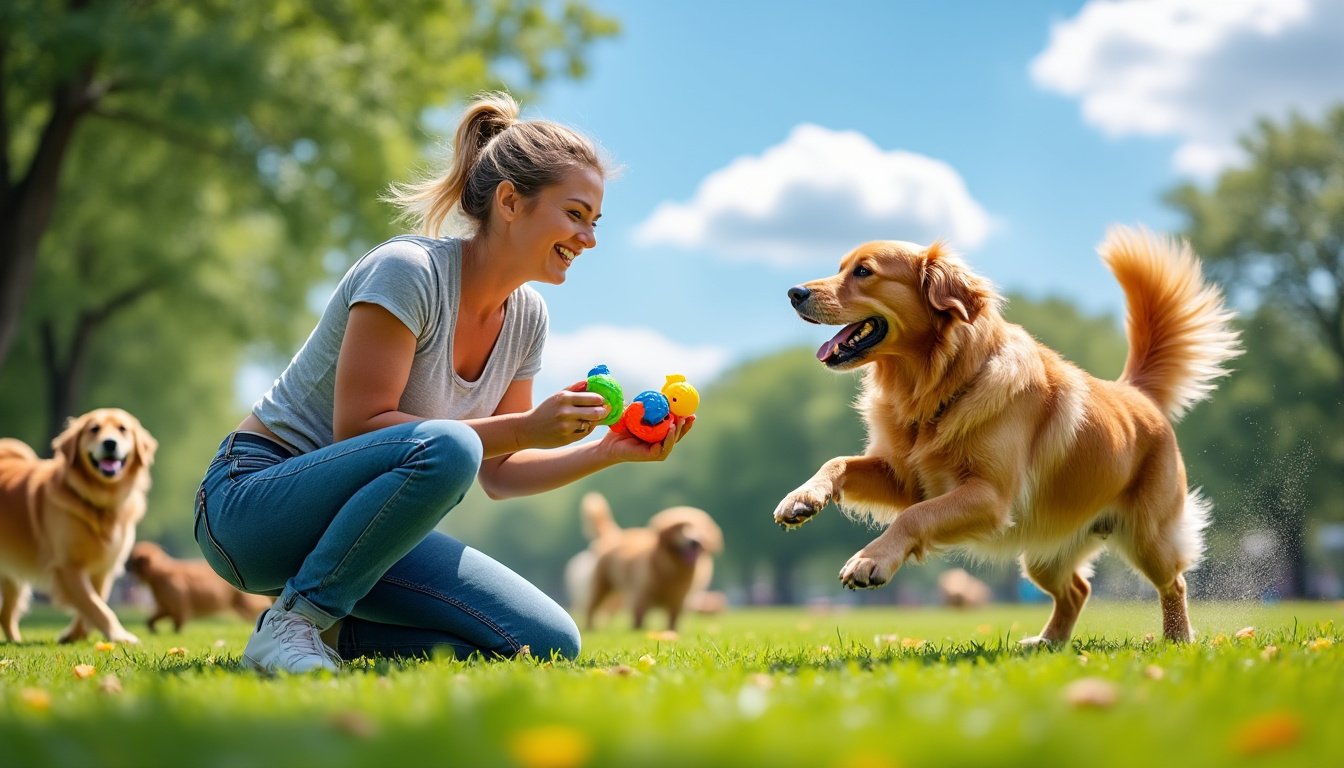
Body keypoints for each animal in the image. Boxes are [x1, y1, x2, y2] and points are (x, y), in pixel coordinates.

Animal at [0, 408, 157, 642]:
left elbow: (92, 603)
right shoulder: (68, 566)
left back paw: (16, 641)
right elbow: (96, 607)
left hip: (13, 576)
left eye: (123, 429)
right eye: (94, 429)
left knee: (6, 614)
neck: (100, 502)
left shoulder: (102, 570)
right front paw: (118, 636)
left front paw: (73, 635)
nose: (110, 443)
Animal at [124, 538, 271, 634]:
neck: (158, 574)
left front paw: (176, 634)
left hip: (245, 603)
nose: (124, 565)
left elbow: (177, 623)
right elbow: (150, 620)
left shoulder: (179, 607)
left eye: (131, 560)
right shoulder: (165, 607)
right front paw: (153, 629)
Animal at [575, 492, 725, 632]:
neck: (673, 568)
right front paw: (638, 631)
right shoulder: (641, 595)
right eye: (680, 527)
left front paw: (672, 631)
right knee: (591, 608)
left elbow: (673, 621)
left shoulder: (679, 599)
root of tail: (614, 535)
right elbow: (639, 619)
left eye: (701, 528)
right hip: (601, 586)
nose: (694, 541)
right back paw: (590, 627)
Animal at [774, 227, 1241, 642]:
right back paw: (1047, 642)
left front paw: (871, 560)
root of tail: (1135, 393)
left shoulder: (989, 495)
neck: (938, 385)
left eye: (864, 271)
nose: (793, 293)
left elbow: (914, 517)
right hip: (1044, 553)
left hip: (1148, 537)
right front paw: (801, 498)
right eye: (841, 267)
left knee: (1174, 583)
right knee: (1078, 589)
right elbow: (839, 462)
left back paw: (1177, 638)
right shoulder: (907, 479)